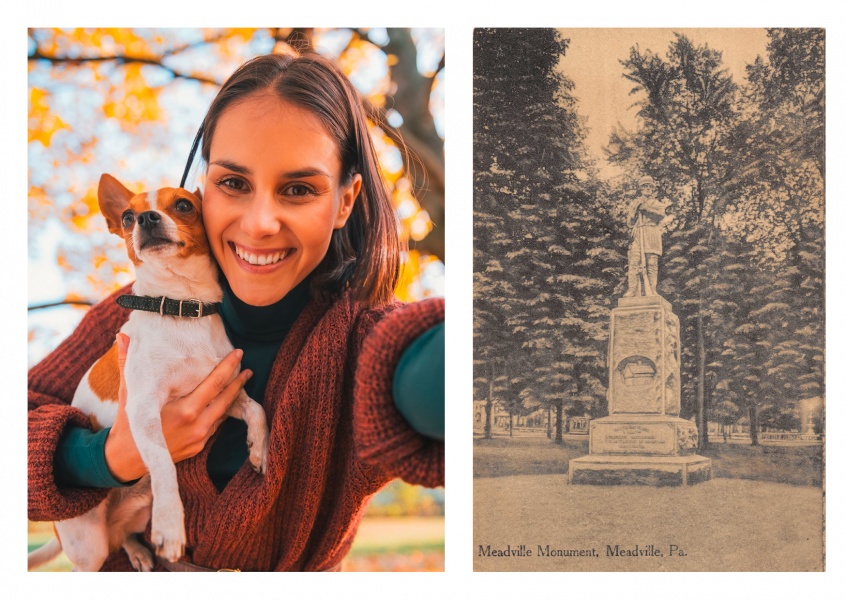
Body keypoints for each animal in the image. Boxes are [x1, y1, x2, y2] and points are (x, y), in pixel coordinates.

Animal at [29, 173, 268, 572]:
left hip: (137, 511)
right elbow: (164, 465)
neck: (181, 306)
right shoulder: (143, 412)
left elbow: (257, 409)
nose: (145, 218)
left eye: (184, 205)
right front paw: (171, 528)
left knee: (124, 534)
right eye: (127, 216)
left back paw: (139, 551)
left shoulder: (224, 394)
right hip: (89, 546)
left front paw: (260, 449)